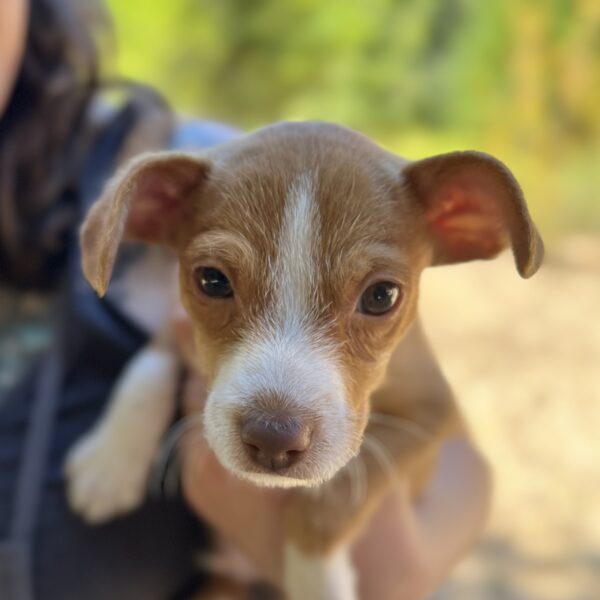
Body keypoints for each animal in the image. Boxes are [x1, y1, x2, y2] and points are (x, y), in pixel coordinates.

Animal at [64, 122, 544, 600]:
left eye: (382, 295)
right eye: (211, 280)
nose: (272, 439)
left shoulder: (432, 414)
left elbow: (329, 499)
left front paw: (317, 582)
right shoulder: (178, 324)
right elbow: (149, 362)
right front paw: (110, 460)